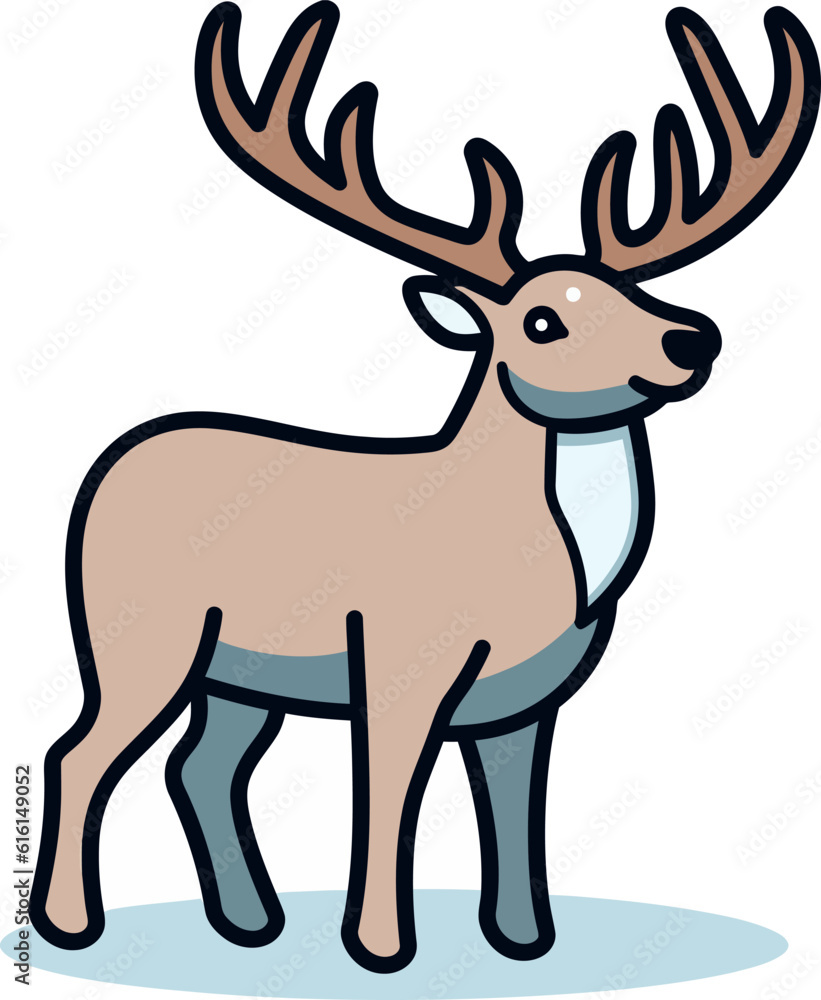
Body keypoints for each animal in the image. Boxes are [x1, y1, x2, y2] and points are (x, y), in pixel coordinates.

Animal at [31, 0, 818, 975]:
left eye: (628, 291)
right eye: (542, 321)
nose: (691, 338)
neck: (544, 574)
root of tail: (110, 465)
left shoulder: (528, 698)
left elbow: (516, 813)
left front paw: (522, 941)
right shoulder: (398, 658)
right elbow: (388, 795)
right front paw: (380, 949)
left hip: (239, 671)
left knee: (200, 765)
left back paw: (250, 923)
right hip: (139, 635)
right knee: (80, 752)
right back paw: (71, 925)